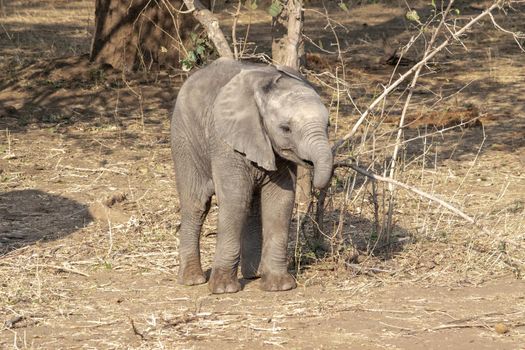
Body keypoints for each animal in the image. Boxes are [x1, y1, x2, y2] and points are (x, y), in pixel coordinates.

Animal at [170, 57, 332, 292]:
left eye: (328, 125)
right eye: (285, 129)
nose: (312, 165)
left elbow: (280, 200)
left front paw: (279, 286)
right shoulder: (225, 142)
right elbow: (235, 198)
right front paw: (223, 289)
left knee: (252, 206)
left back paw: (254, 275)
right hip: (184, 139)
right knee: (196, 204)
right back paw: (192, 280)